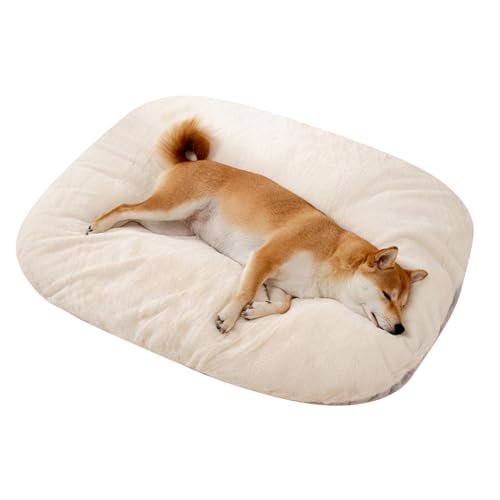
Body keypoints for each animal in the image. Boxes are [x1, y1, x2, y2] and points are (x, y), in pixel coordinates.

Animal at [87, 118, 428, 335]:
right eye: (387, 296)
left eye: (403, 305)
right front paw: (230, 316)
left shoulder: (279, 286)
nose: (401, 328)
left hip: (167, 225)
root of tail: (189, 163)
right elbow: (246, 289)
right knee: (124, 207)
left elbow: (282, 306)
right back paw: (98, 225)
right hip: (171, 207)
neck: (329, 255)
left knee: (131, 215)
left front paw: (254, 310)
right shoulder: (265, 257)